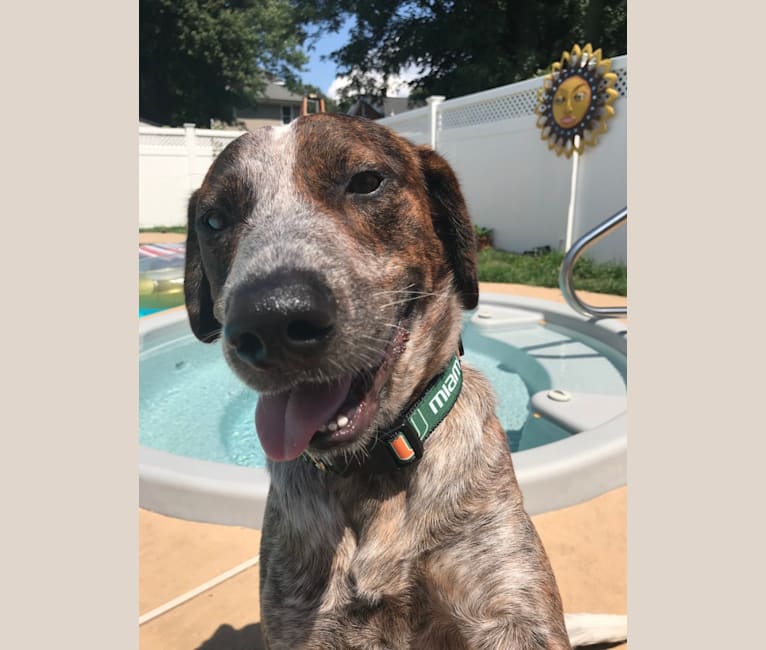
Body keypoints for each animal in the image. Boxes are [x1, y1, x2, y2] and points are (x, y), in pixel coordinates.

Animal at [183, 114, 628, 644]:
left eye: (366, 181)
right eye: (214, 220)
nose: (271, 319)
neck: (373, 470)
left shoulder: (511, 611)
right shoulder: (301, 619)